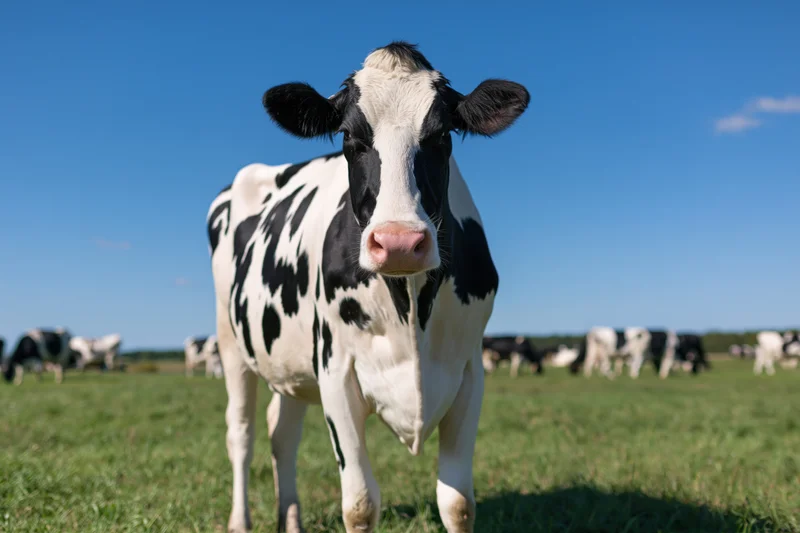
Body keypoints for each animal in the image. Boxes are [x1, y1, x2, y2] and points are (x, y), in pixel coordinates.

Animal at [206, 42, 529, 533]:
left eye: (443, 136)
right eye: (349, 139)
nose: (398, 242)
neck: (411, 309)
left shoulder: (469, 371)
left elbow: (457, 503)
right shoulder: (336, 368)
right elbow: (359, 503)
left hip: (289, 360)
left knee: (283, 433)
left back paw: (291, 519)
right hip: (231, 343)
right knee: (240, 432)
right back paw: (240, 521)